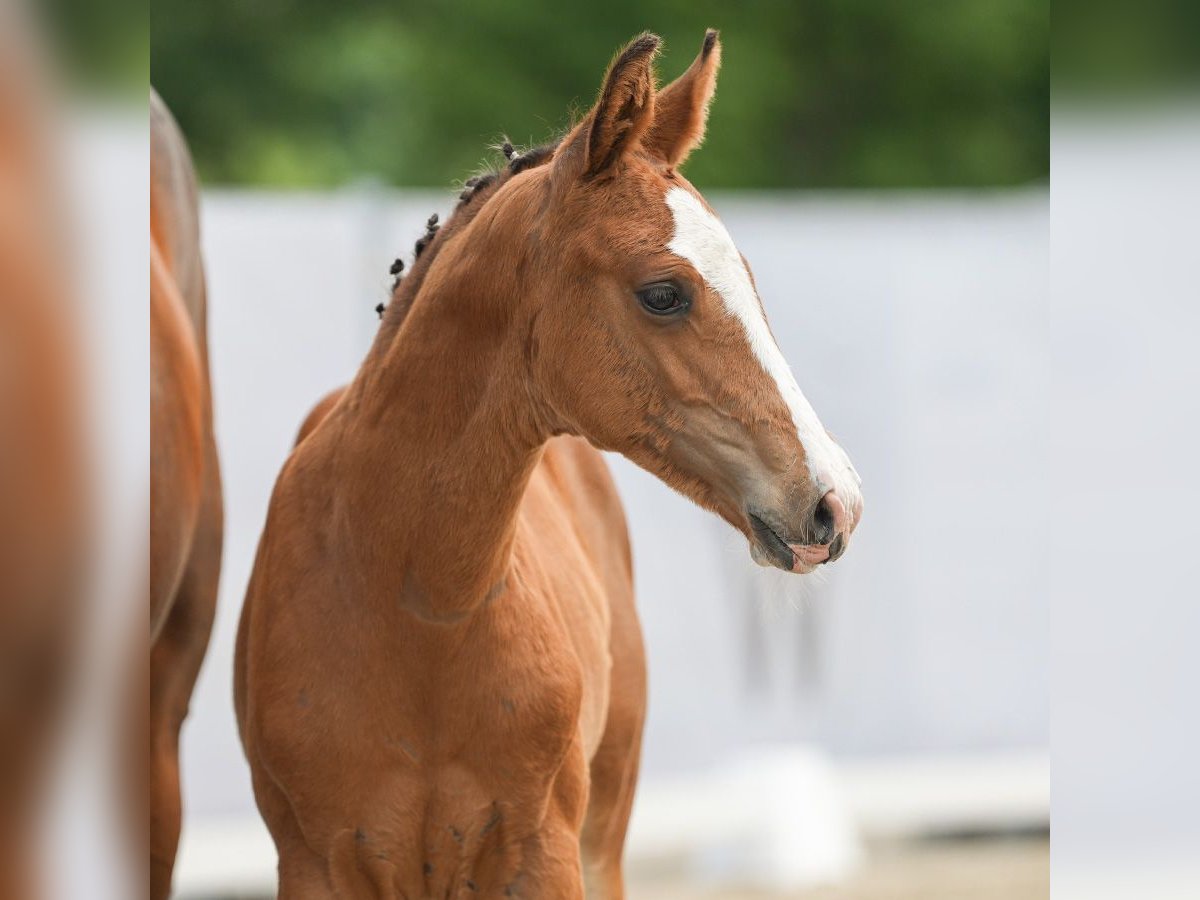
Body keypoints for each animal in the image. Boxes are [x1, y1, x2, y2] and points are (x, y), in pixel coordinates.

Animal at [234, 31, 859, 897]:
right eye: (664, 293)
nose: (835, 500)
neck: (419, 602)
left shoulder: (545, 850)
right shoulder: (315, 861)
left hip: (607, 828)